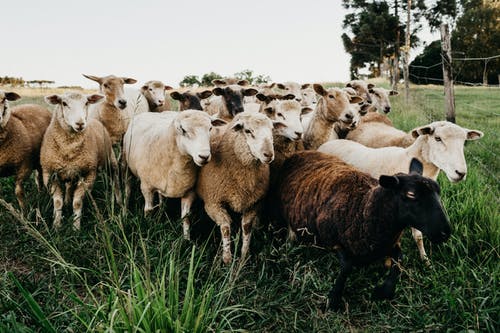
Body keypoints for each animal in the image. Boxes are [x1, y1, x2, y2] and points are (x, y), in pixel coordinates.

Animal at [41, 92, 121, 230]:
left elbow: (77, 202)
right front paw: (56, 225)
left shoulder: (89, 174)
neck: (69, 148)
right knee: (69, 186)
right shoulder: (49, 174)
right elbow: (57, 202)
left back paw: (119, 202)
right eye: (64, 103)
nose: (80, 123)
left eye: (86, 103)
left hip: (110, 159)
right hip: (71, 171)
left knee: (115, 178)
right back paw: (67, 200)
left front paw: (76, 227)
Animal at [122, 109, 226, 239]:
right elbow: (148, 210)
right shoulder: (146, 187)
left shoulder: (189, 191)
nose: (204, 156)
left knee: (161, 196)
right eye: (183, 129)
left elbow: (185, 217)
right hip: (126, 165)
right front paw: (147, 230)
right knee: (128, 189)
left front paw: (186, 239)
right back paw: (125, 211)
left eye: (210, 128)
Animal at [196, 111, 278, 264]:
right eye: (248, 131)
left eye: (272, 130)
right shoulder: (213, 203)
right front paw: (227, 259)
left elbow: (246, 227)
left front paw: (244, 256)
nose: (268, 154)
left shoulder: (254, 203)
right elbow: (226, 227)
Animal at [280, 150, 452, 308]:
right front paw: (334, 298)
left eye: (438, 191)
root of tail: (303, 152)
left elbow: (400, 259)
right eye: (411, 194)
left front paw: (383, 292)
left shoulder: (388, 244)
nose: (446, 232)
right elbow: (347, 266)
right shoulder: (331, 239)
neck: (363, 208)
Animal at [316, 120, 484, 260]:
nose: (460, 173)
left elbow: (418, 236)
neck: (408, 160)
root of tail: (328, 143)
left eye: (464, 142)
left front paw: (425, 260)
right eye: (437, 138)